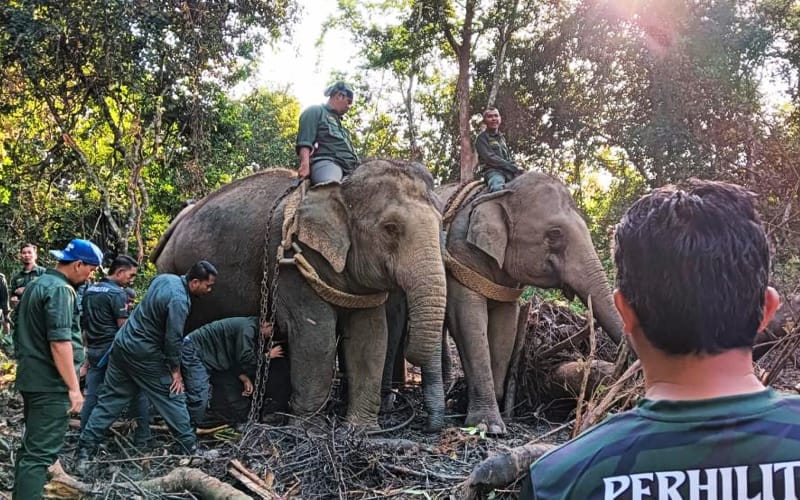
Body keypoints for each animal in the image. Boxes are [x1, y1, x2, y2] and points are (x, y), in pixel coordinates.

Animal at [151, 160, 448, 432]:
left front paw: (362, 430)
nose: (429, 427)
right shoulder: (290, 260)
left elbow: (371, 337)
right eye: (390, 228)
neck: (341, 187)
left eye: (441, 223)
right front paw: (307, 431)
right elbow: (316, 337)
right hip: (171, 270)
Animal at [440, 171, 624, 434]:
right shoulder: (460, 254)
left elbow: (505, 326)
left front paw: (495, 407)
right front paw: (488, 426)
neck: (501, 193)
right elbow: (468, 321)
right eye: (555, 234)